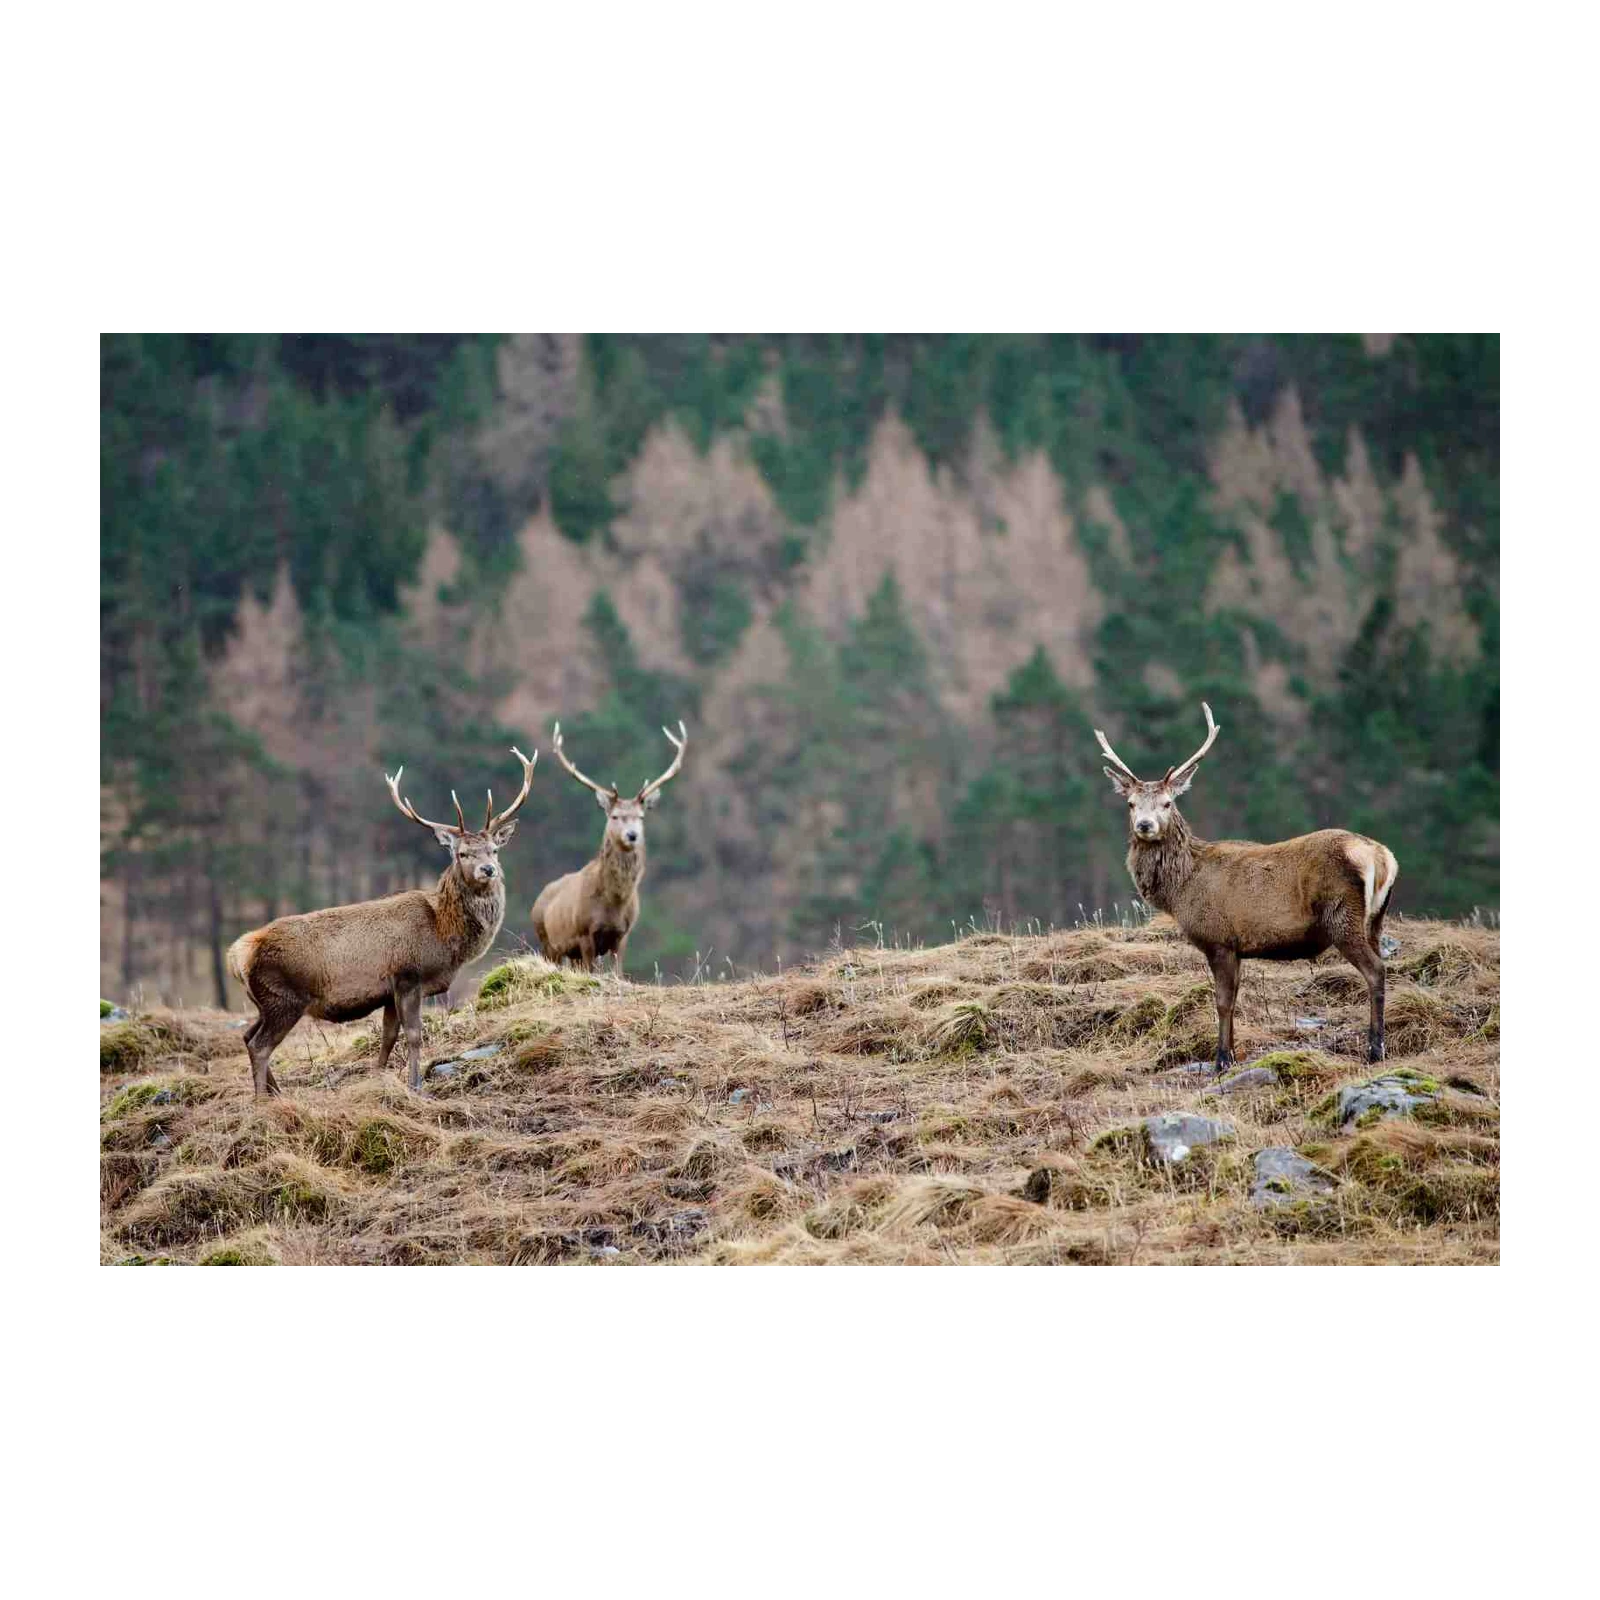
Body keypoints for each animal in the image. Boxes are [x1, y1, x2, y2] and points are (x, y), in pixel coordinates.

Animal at [225, 748, 537, 1097]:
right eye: (462, 854)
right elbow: (414, 1034)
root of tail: (237, 954)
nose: (488, 870)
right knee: (260, 1045)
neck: (444, 936)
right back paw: (261, 1099)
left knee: (247, 1036)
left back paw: (276, 1093)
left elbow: (388, 1037)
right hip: (284, 999)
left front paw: (378, 1079)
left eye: (494, 850)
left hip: (263, 1002)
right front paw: (416, 1086)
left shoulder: (389, 991)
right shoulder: (408, 976)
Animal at [531, 720, 687, 976]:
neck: (614, 904)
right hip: (547, 941)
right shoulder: (583, 932)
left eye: (641, 817)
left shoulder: (622, 934)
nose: (632, 835)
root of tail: (538, 900)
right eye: (614, 816)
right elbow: (592, 971)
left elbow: (618, 972)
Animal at [1095, 703, 1398, 1071]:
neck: (1181, 889)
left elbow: (1223, 1001)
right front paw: (1231, 1054)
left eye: (1167, 802)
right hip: (1376, 919)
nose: (1144, 825)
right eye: (1131, 804)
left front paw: (1221, 1060)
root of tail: (1382, 857)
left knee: (1376, 970)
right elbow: (1235, 998)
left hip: (1343, 916)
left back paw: (1375, 1049)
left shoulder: (1218, 938)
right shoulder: (1237, 946)